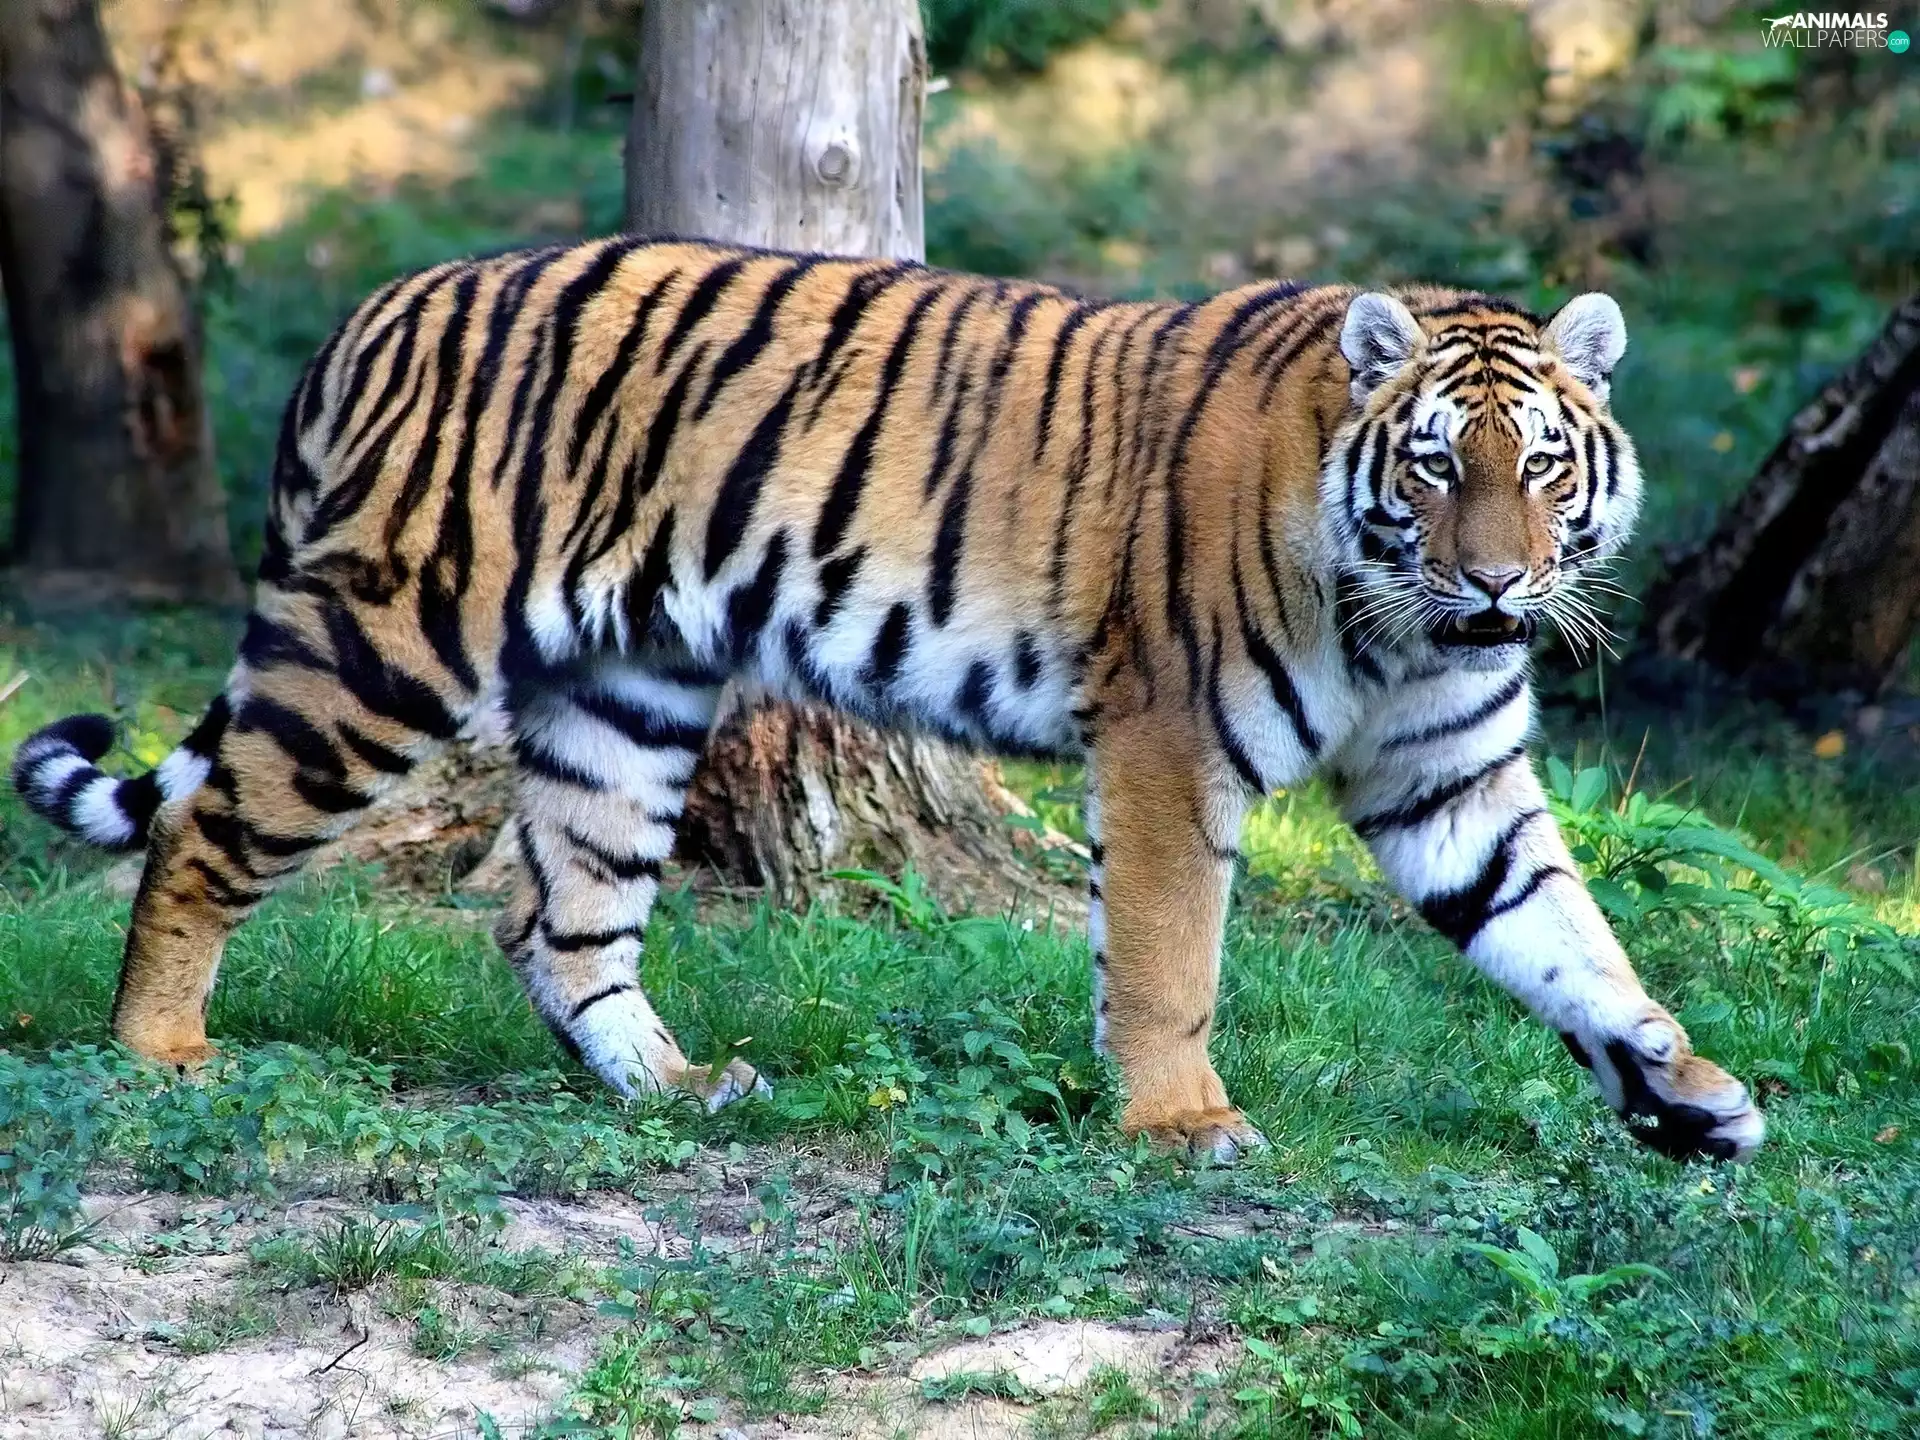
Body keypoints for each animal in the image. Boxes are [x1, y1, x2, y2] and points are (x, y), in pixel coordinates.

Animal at [13, 236, 1765, 1163]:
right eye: (1438, 465)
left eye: (1544, 467)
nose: (1500, 588)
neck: (1404, 629)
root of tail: (375, 306)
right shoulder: (1167, 745)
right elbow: (1169, 959)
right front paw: (1181, 1123)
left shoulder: (1446, 776)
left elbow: (1566, 935)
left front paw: (1685, 1096)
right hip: (387, 645)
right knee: (204, 834)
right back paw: (163, 1053)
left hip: (631, 694)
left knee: (556, 911)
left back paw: (678, 1089)